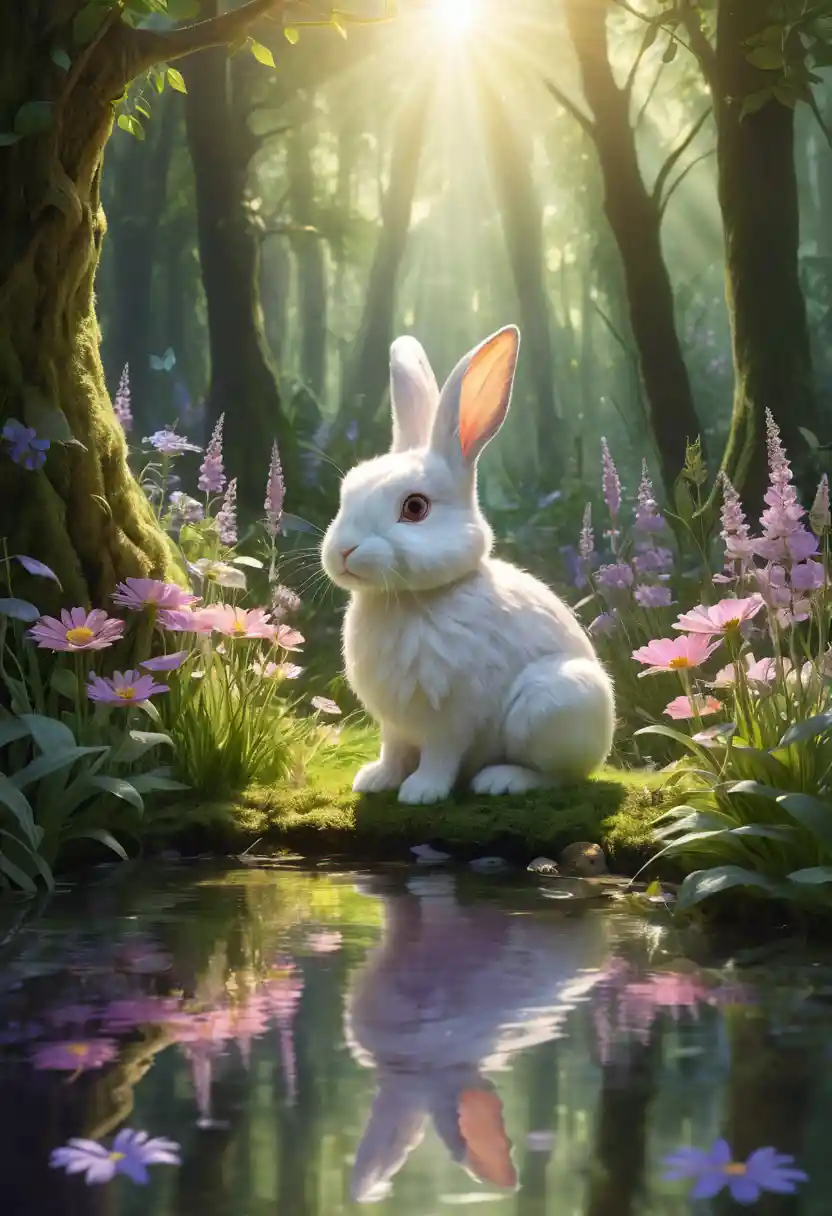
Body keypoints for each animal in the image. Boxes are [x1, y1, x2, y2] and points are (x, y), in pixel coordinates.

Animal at [320, 325, 615, 805]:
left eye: (415, 507)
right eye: (347, 492)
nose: (343, 551)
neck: (410, 598)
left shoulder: (451, 717)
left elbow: (440, 756)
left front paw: (420, 793)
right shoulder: (395, 725)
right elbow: (392, 750)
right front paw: (376, 780)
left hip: (552, 705)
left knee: (561, 777)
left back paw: (501, 780)